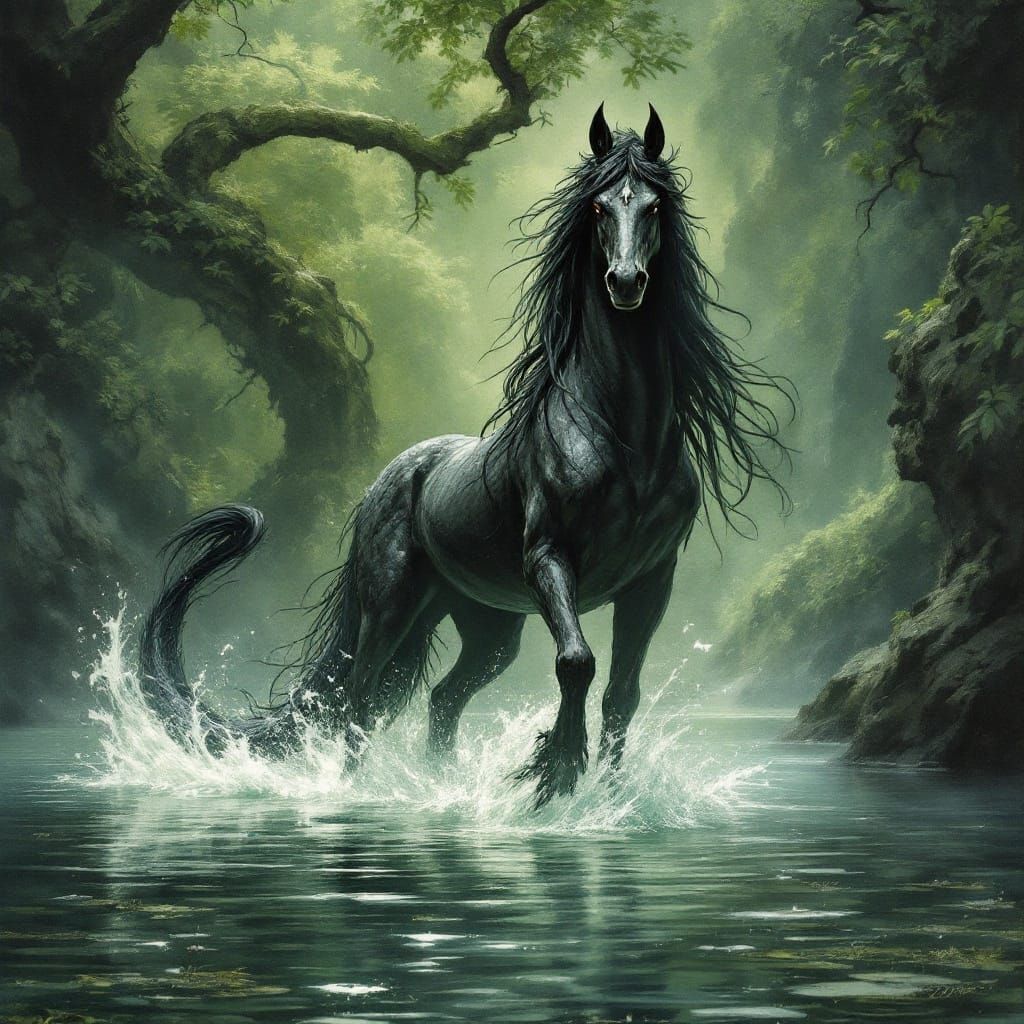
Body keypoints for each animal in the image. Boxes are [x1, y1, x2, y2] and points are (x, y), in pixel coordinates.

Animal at [139, 104, 790, 807]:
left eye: (655, 205)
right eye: (596, 207)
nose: (625, 282)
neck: (627, 440)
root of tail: (387, 480)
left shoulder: (652, 580)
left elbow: (623, 693)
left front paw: (610, 800)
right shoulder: (550, 559)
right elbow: (577, 662)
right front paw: (558, 769)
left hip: (488, 626)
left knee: (443, 698)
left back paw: (439, 787)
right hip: (392, 607)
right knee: (358, 702)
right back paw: (358, 796)